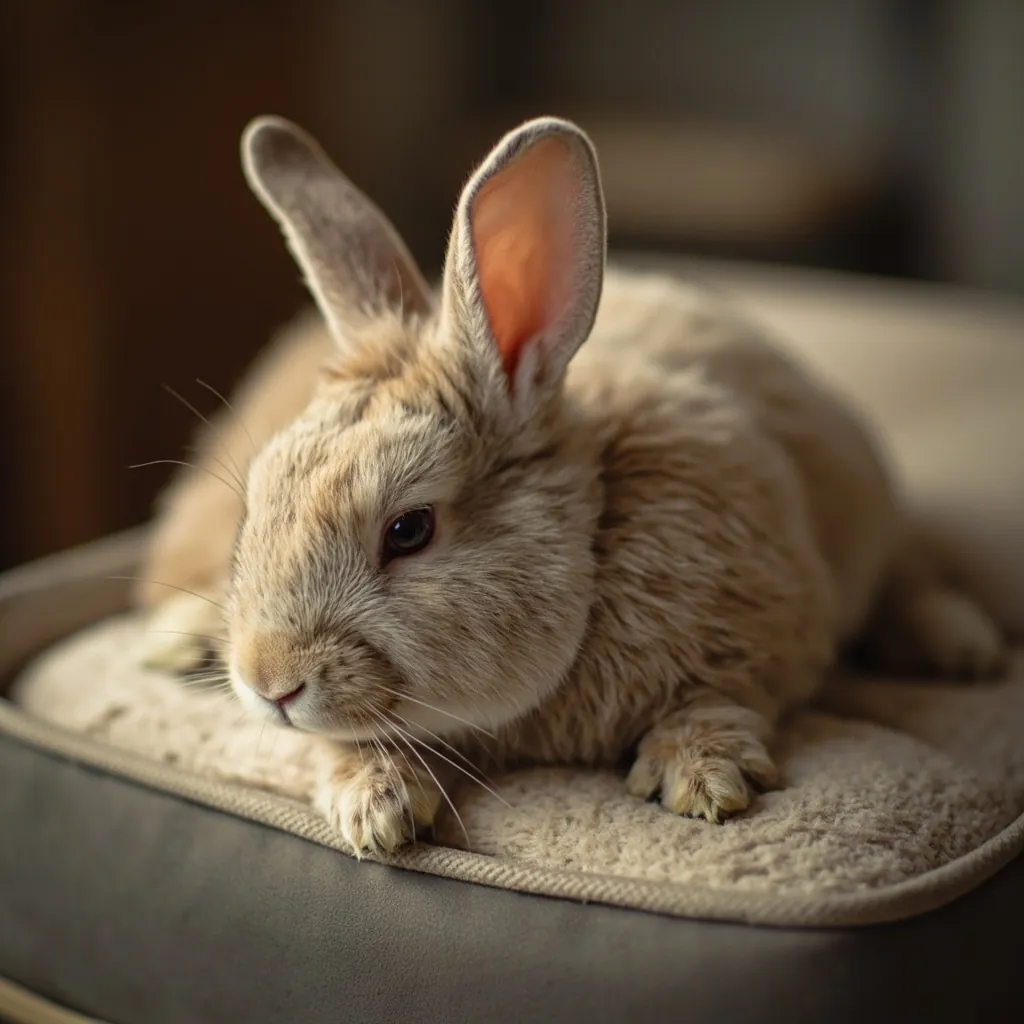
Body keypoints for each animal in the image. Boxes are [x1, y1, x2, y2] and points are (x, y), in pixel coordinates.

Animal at [136, 114, 1007, 855]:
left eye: (409, 530)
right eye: (257, 504)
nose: (268, 681)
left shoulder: (765, 636)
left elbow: (719, 697)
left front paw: (704, 780)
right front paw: (373, 810)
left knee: (910, 572)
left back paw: (964, 651)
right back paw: (176, 641)